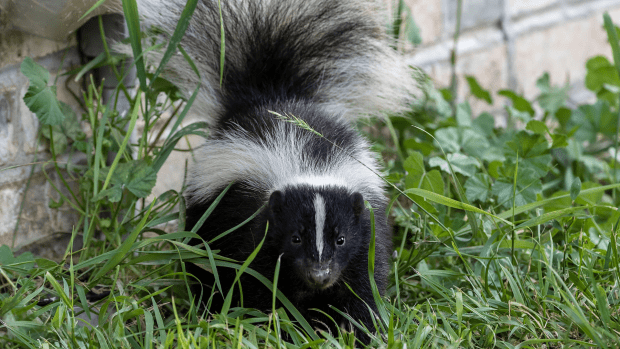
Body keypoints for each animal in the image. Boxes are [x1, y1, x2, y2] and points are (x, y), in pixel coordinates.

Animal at [136, 0, 416, 340]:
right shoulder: (253, 226)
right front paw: (275, 328)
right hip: (207, 214)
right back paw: (206, 304)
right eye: (295, 237)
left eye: (340, 239)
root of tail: (270, 97)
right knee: (202, 261)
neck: (310, 166)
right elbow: (258, 281)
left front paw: (359, 331)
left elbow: (362, 285)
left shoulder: (366, 232)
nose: (319, 274)